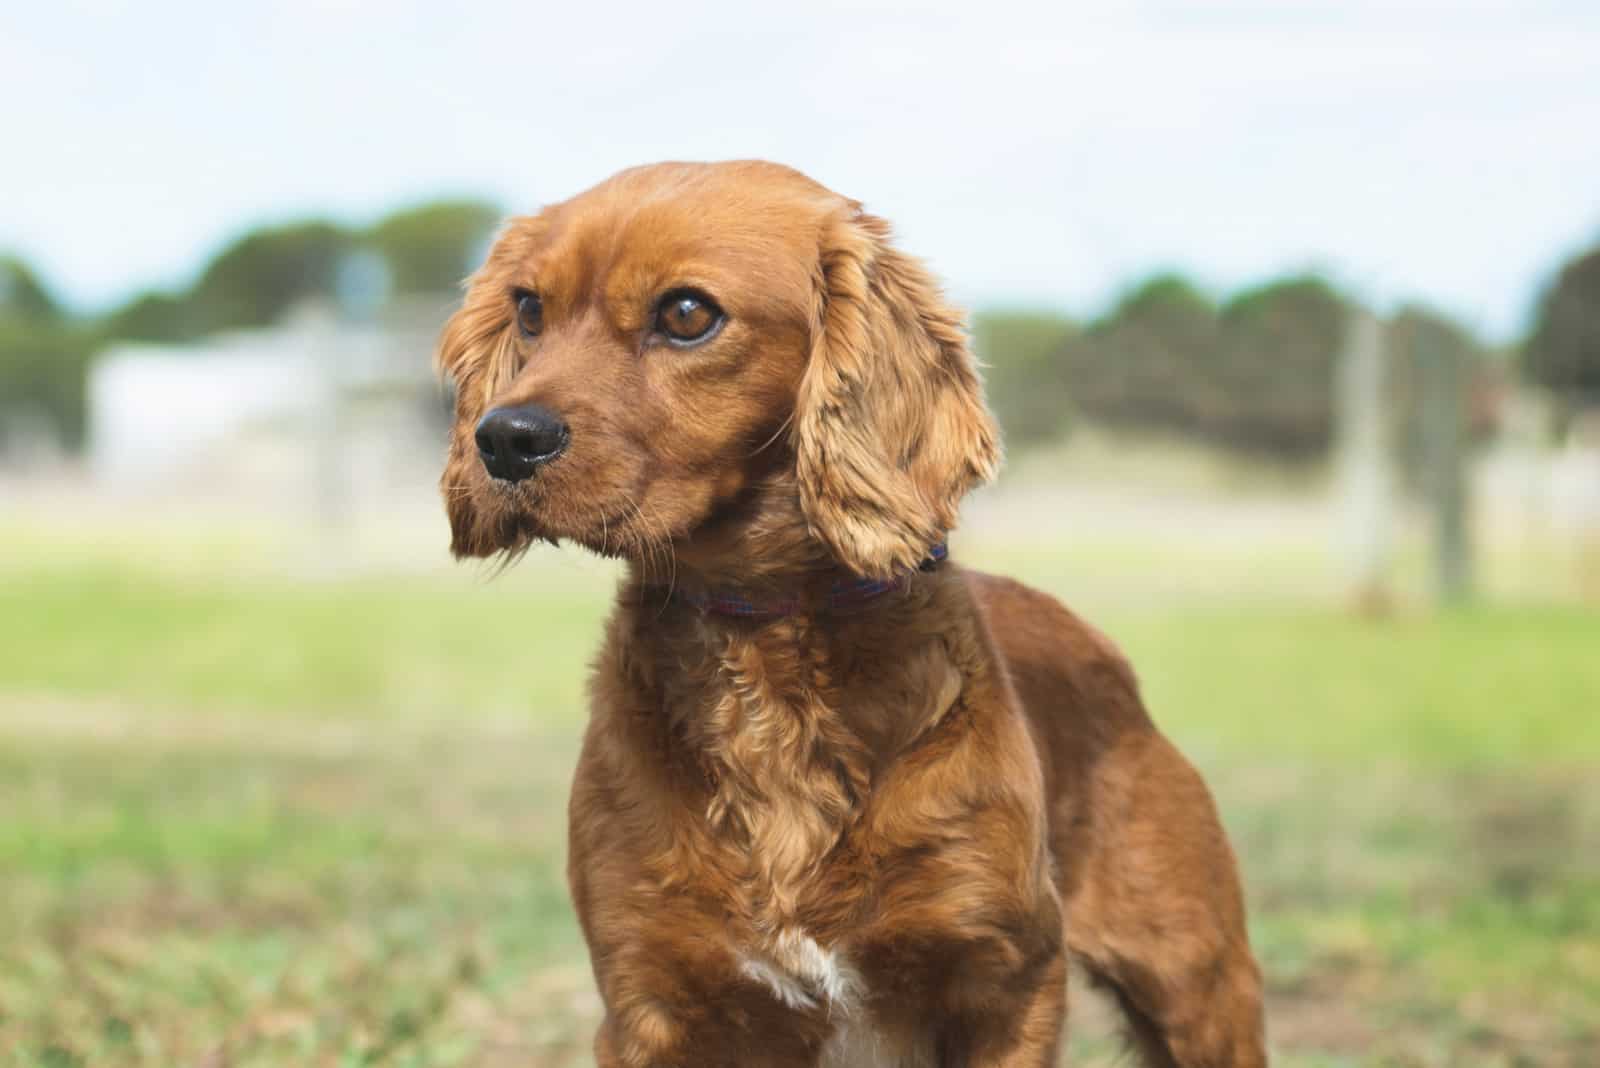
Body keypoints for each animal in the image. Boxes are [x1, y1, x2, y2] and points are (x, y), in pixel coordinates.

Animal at [435, 160, 1260, 1068]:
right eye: (529, 308)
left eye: (687, 314)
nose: (503, 439)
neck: (764, 646)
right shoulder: (647, 1000)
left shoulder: (1009, 982)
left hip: (1199, 987)